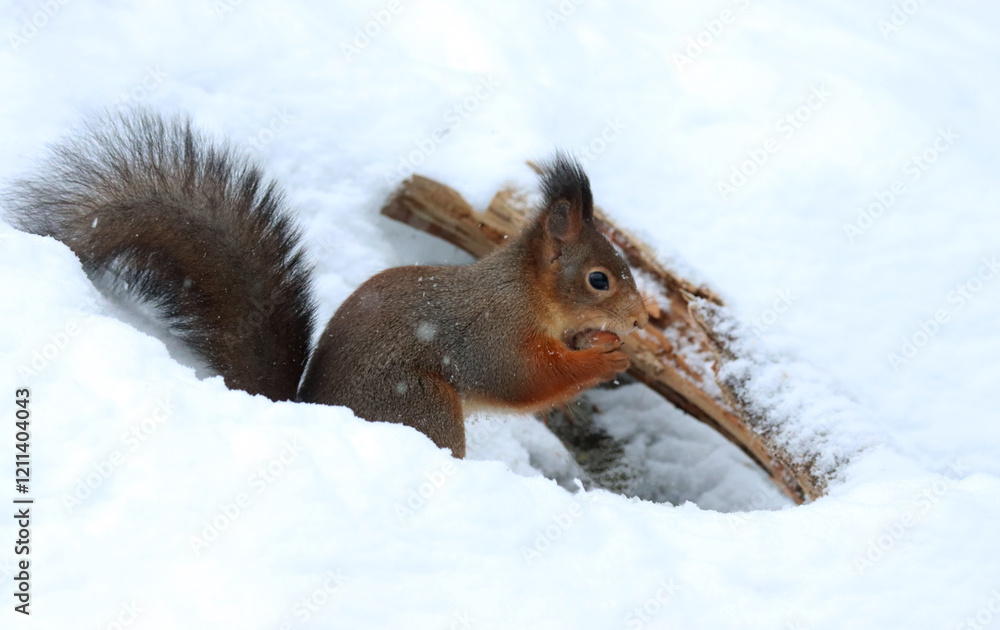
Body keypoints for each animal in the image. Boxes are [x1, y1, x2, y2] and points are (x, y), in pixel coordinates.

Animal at [4, 109, 649, 458]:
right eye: (598, 279)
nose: (642, 319)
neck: (525, 294)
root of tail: (307, 410)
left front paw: (601, 343)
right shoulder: (489, 336)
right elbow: (524, 381)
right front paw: (606, 358)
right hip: (422, 406)